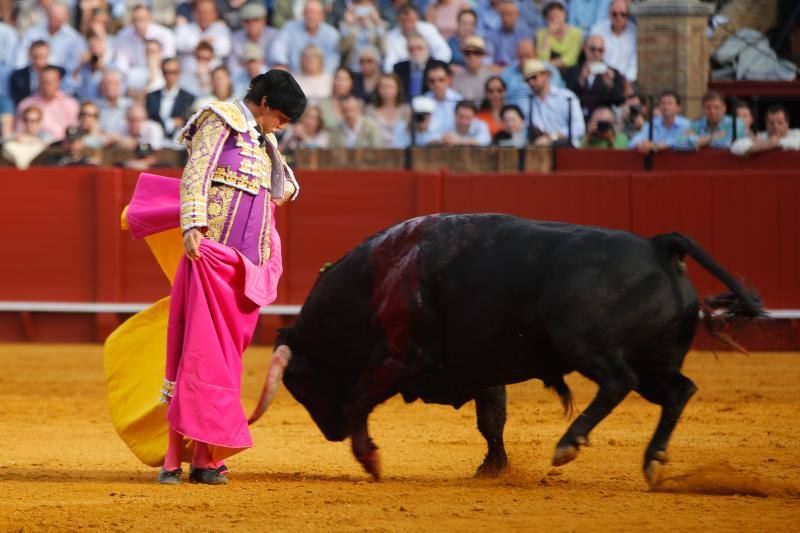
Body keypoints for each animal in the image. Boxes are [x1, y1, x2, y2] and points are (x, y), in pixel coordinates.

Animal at [247, 214, 760, 484]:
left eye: (299, 383)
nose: (331, 433)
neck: (378, 275)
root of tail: (659, 246)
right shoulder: (482, 369)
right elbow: (491, 419)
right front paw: (492, 469)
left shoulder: (401, 355)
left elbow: (359, 400)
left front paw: (370, 459)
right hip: (655, 359)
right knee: (678, 391)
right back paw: (652, 460)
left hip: (586, 342)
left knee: (618, 382)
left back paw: (569, 444)